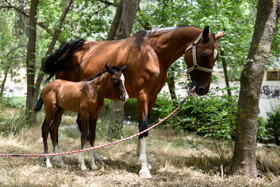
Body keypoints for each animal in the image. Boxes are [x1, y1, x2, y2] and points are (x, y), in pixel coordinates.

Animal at [42, 25, 225, 178]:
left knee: (78, 124)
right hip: (62, 102)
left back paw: (93, 157)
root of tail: (68, 52)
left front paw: (141, 159)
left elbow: (145, 127)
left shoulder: (153, 97)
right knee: (54, 127)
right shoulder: (142, 95)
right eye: (205, 54)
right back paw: (57, 159)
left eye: (216, 58)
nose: (202, 89)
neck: (154, 52)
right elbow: (143, 127)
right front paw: (143, 167)